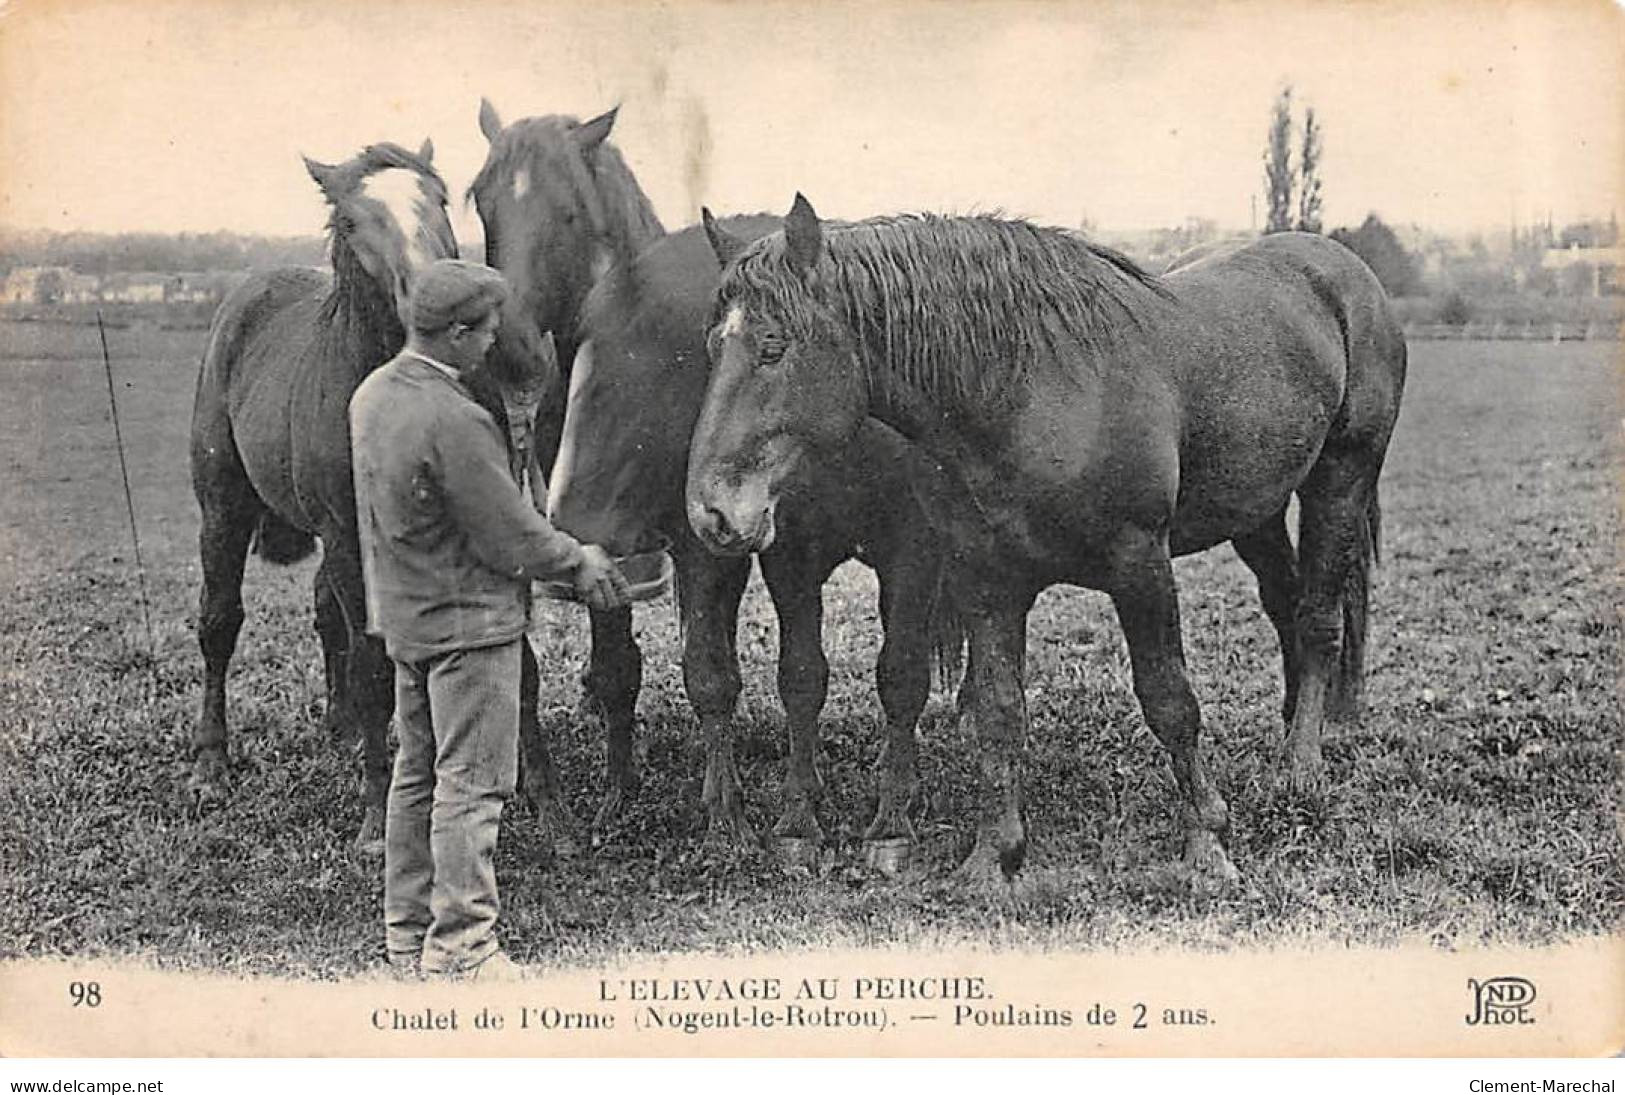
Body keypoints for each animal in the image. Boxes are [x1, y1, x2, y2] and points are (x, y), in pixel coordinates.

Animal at [188, 140, 458, 851]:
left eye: (441, 199)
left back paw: (341, 729)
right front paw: (376, 817)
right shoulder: (344, 538)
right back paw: (211, 764)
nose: (435, 298)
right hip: (223, 512)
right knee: (219, 624)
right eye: (352, 220)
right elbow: (372, 666)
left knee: (324, 616)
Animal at [692, 194, 1404, 877]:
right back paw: (1290, 731)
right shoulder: (988, 579)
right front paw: (993, 856)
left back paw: (1302, 765)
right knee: (1285, 603)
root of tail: (1342, 268)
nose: (711, 514)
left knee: (1318, 619)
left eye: (774, 346)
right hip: (1256, 508)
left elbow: (1169, 700)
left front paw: (1208, 846)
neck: (1031, 392)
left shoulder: (1140, 566)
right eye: (713, 347)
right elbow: (1000, 710)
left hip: (1340, 478)